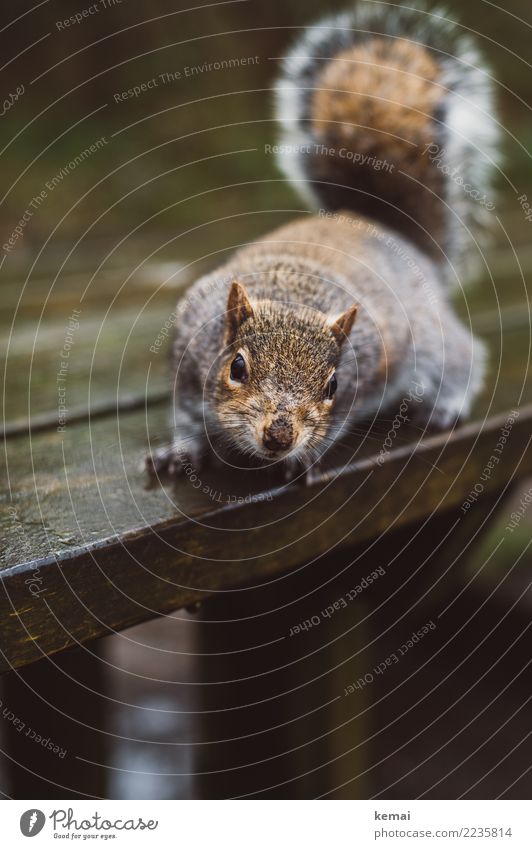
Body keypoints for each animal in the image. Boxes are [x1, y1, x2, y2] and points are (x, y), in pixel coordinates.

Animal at [145, 1, 498, 484]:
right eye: (236, 367)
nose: (279, 438)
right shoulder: (188, 355)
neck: (292, 298)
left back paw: (447, 406)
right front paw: (179, 450)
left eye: (332, 385)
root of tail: (378, 227)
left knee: (464, 357)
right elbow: (184, 414)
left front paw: (304, 459)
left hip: (430, 338)